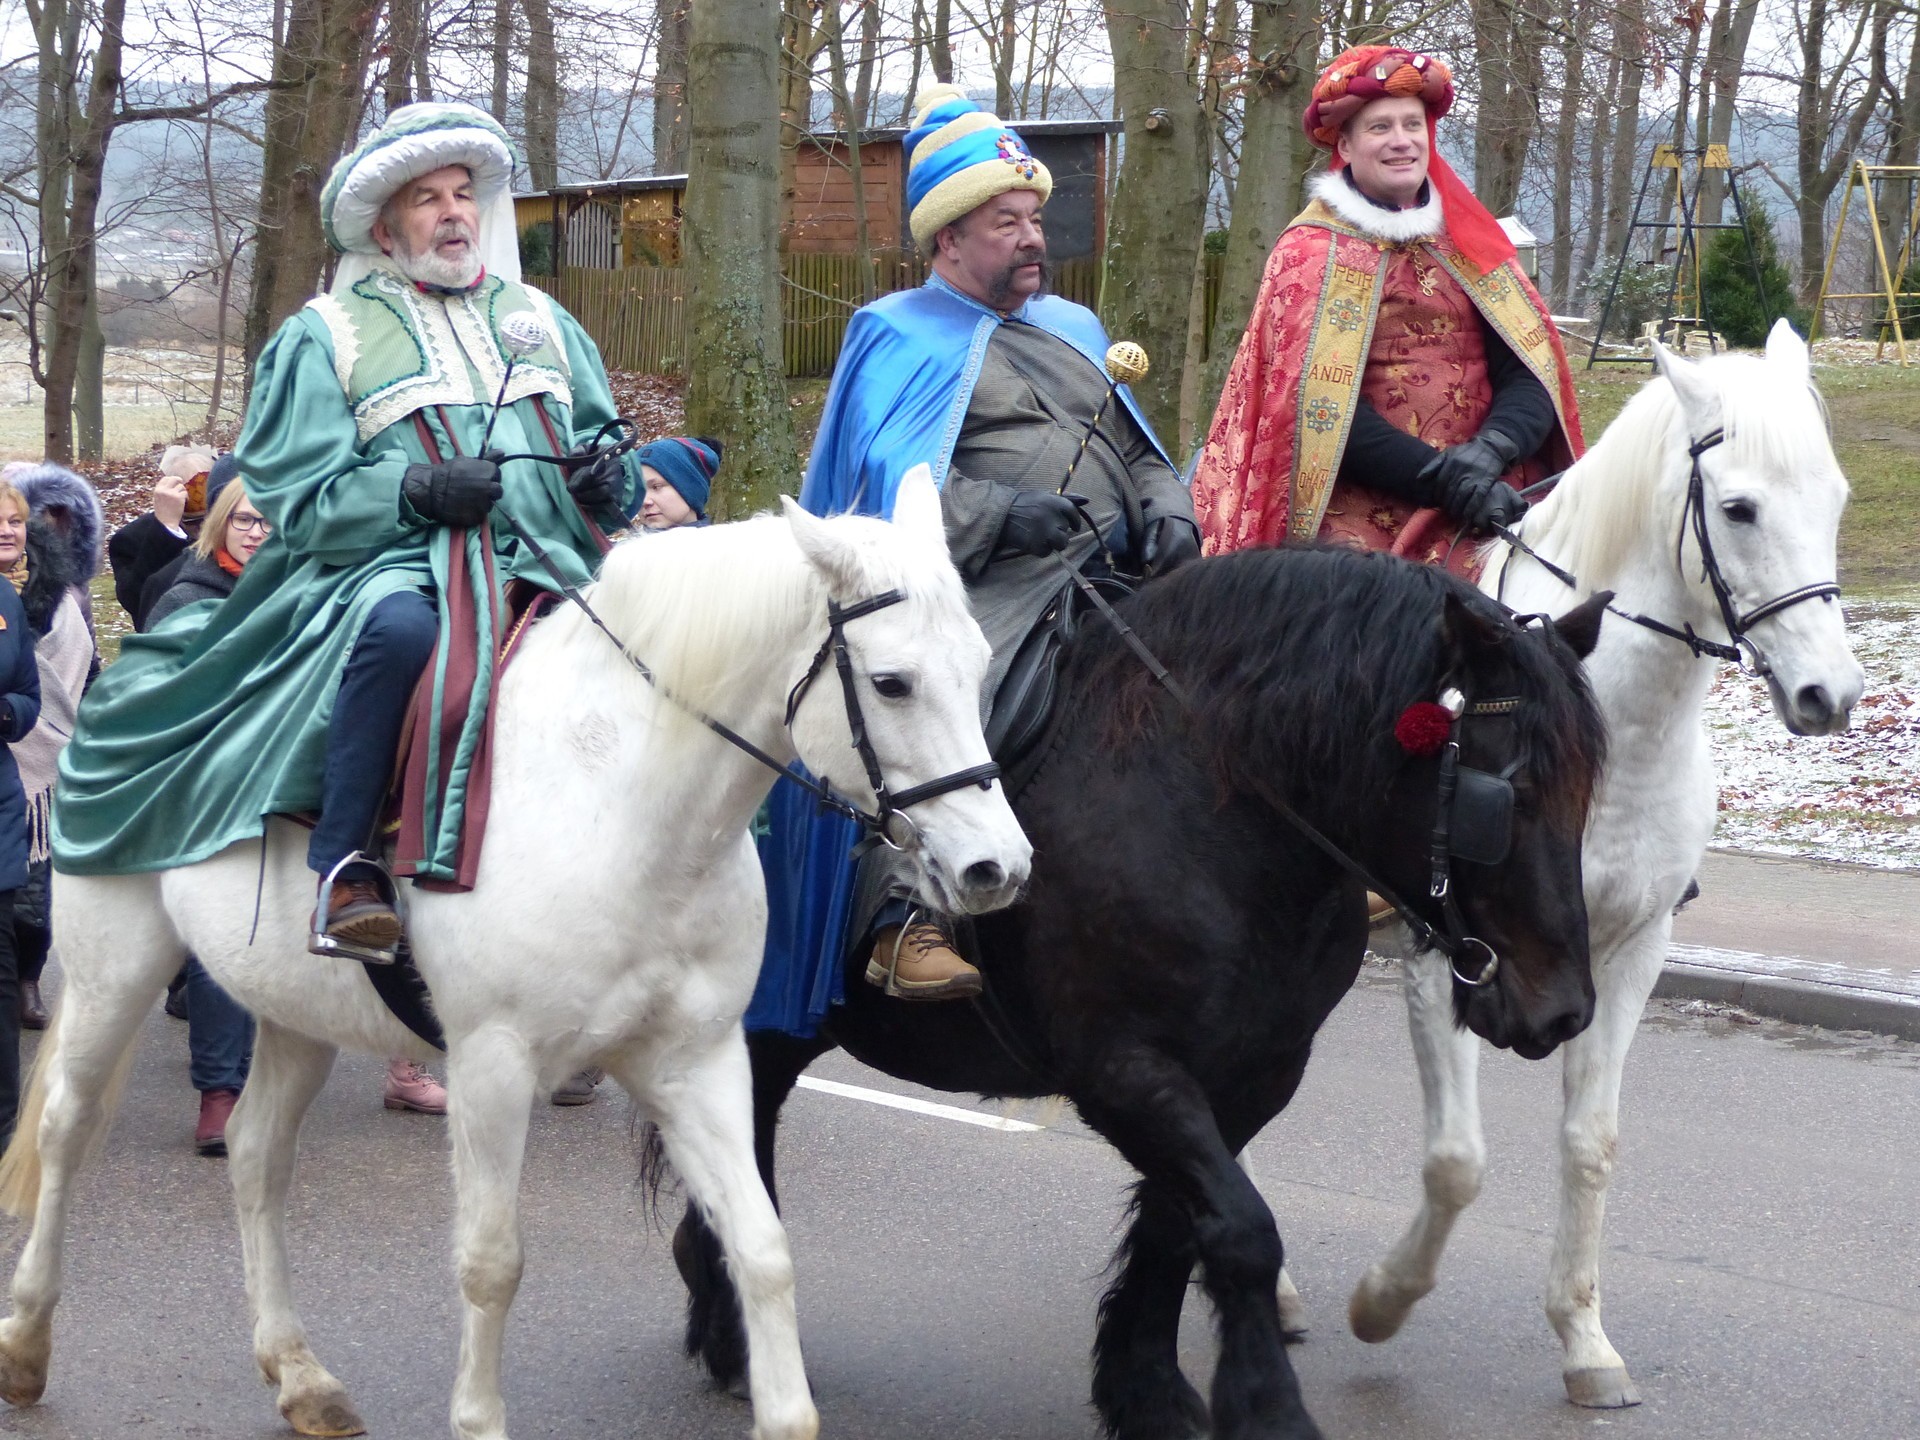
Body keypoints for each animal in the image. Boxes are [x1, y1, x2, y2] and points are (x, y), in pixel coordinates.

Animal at [0, 468, 1032, 1440]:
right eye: (893, 682)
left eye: (981, 662)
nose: (998, 867)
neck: (619, 802)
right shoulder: (493, 1063)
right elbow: (492, 1262)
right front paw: (479, 1416)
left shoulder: (694, 1062)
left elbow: (763, 1249)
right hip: (115, 971)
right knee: (65, 1130)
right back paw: (27, 1345)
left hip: (297, 1007)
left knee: (256, 1156)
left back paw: (301, 1377)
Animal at [674, 543, 1614, 1440]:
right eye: (1511, 792)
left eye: (1586, 793)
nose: (1563, 1008)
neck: (1205, 804)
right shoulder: (1124, 1071)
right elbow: (1242, 1232)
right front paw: (1267, 1407)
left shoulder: (1249, 1078)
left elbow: (1179, 1229)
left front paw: (1147, 1392)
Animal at [1346, 322, 1865, 1408]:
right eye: (1739, 507)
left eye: (1835, 496)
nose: (1828, 694)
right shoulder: (1444, 954)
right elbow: (1457, 1160)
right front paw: (1382, 1299)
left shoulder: (1628, 954)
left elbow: (1592, 1143)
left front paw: (1584, 1339)